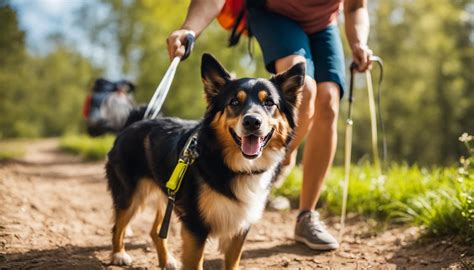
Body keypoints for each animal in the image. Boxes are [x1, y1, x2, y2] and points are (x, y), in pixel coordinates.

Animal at [104, 52, 304, 268]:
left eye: (269, 103)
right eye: (234, 102)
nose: (252, 122)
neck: (232, 165)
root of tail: (134, 123)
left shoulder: (240, 226)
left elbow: (232, 262)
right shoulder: (195, 226)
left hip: (168, 195)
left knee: (156, 232)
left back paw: (166, 260)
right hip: (130, 194)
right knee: (118, 225)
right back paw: (118, 254)